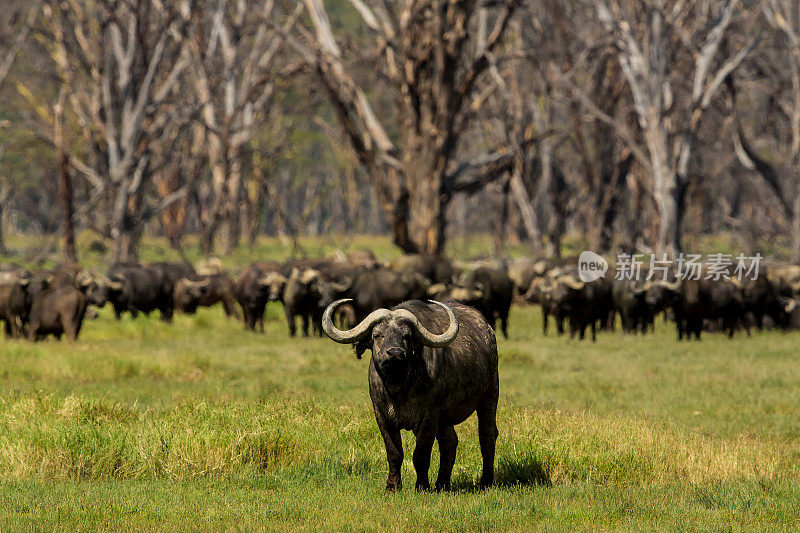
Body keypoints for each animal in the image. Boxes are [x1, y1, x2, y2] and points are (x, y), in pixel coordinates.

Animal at [322, 298, 496, 492]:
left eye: (406, 336)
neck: (398, 388)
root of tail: (487, 329)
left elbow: (420, 454)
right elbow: (394, 452)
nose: (395, 353)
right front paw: (392, 487)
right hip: (445, 418)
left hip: (490, 395)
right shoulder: (382, 416)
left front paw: (422, 486)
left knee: (487, 434)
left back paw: (486, 481)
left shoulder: (428, 417)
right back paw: (442, 483)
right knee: (449, 442)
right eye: (377, 335)